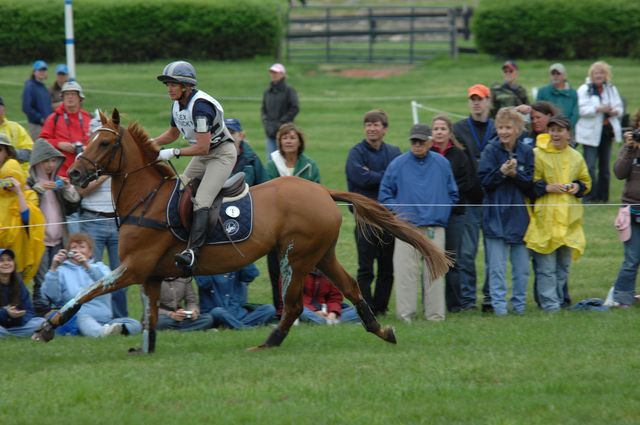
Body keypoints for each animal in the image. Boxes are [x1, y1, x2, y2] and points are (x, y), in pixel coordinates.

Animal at [33, 109, 450, 352]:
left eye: (104, 142)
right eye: (89, 139)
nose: (73, 174)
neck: (145, 200)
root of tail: (322, 190)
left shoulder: (134, 267)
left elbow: (88, 290)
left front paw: (48, 327)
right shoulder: (150, 275)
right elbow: (150, 315)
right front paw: (144, 348)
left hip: (296, 256)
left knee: (294, 304)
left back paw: (269, 342)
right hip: (321, 255)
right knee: (348, 286)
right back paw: (381, 330)